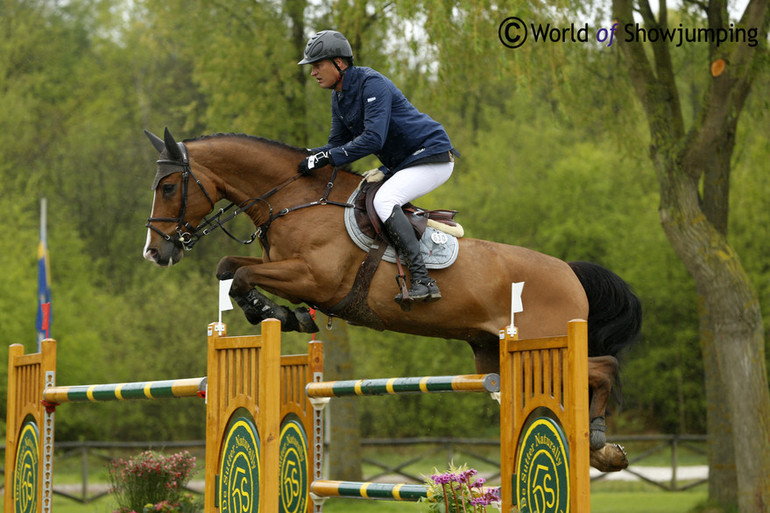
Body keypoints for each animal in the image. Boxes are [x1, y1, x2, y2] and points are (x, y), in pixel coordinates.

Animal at [141, 129, 640, 472]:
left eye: (168, 187)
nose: (155, 252)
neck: (297, 199)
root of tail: (569, 271)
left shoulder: (314, 278)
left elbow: (242, 275)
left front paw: (277, 313)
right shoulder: (286, 269)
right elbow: (229, 267)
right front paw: (281, 314)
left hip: (543, 346)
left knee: (604, 368)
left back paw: (599, 440)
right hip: (493, 356)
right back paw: (605, 453)